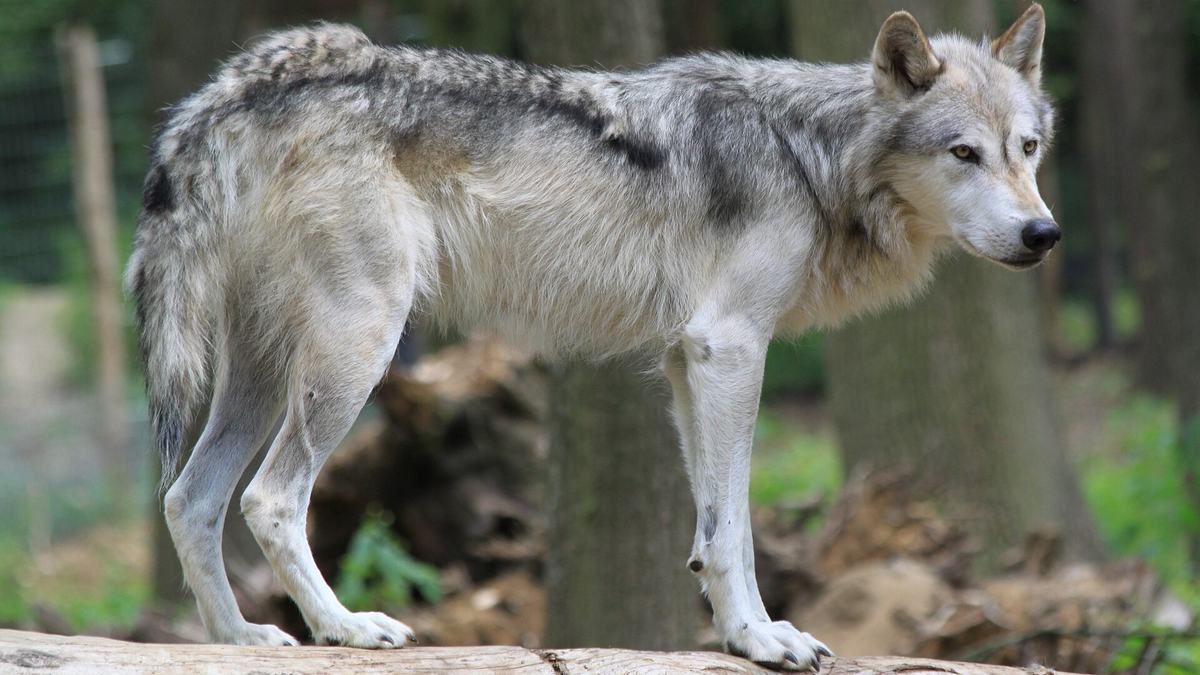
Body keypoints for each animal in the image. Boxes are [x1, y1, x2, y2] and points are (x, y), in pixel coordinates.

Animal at [126, 4, 1056, 670]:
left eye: (1028, 148)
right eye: (963, 153)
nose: (1043, 233)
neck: (807, 155)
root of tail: (252, 82)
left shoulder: (687, 361)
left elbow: (711, 530)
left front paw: (736, 635)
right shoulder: (729, 348)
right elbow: (737, 530)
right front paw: (764, 641)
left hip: (262, 372)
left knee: (190, 498)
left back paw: (240, 640)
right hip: (354, 352)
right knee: (269, 498)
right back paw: (345, 628)